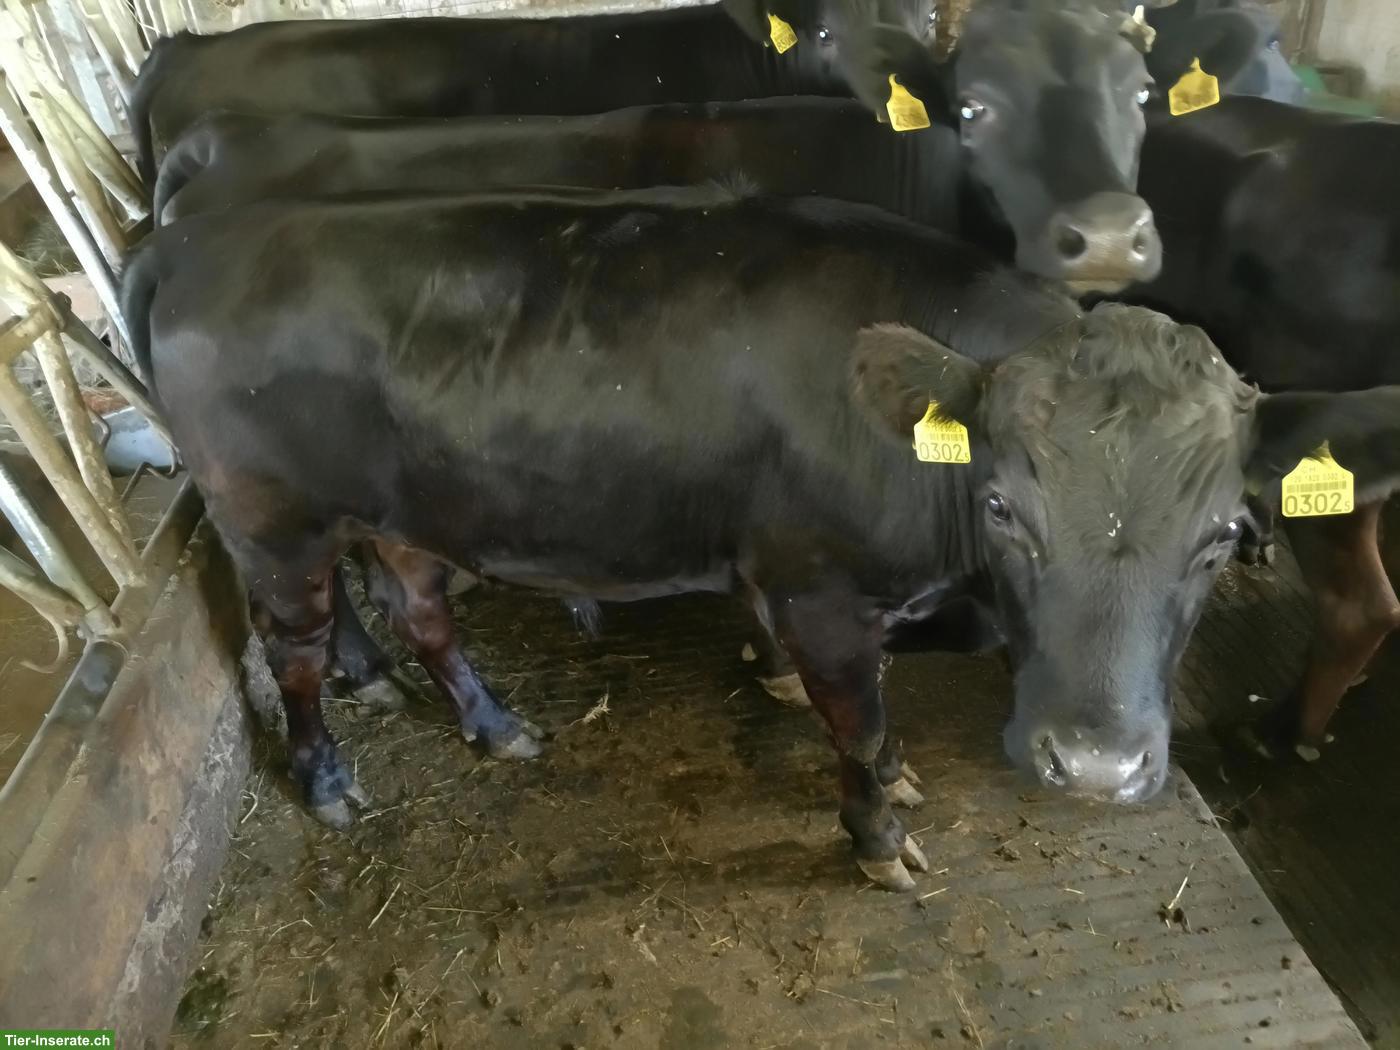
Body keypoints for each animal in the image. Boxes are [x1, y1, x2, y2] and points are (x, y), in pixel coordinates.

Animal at [122, 187, 1400, 889]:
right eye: (1001, 507)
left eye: (1223, 533)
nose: (1093, 768)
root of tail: (193, 236)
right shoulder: (818, 589)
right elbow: (857, 718)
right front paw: (876, 832)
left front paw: (898, 782)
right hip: (270, 518)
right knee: (292, 648)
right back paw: (327, 776)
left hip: (406, 507)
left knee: (420, 605)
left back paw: (489, 724)